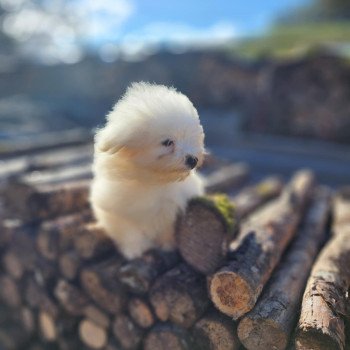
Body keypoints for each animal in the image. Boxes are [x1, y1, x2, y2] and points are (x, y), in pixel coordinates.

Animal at [90, 81, 205, 258]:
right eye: (167, 142)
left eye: (191, 138)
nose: (193, 159)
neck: (151, 180)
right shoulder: (114, 209)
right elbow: (128, 231)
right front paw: (135, 249)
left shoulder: (171, 207)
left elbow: (166, 228)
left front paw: (167, 245)